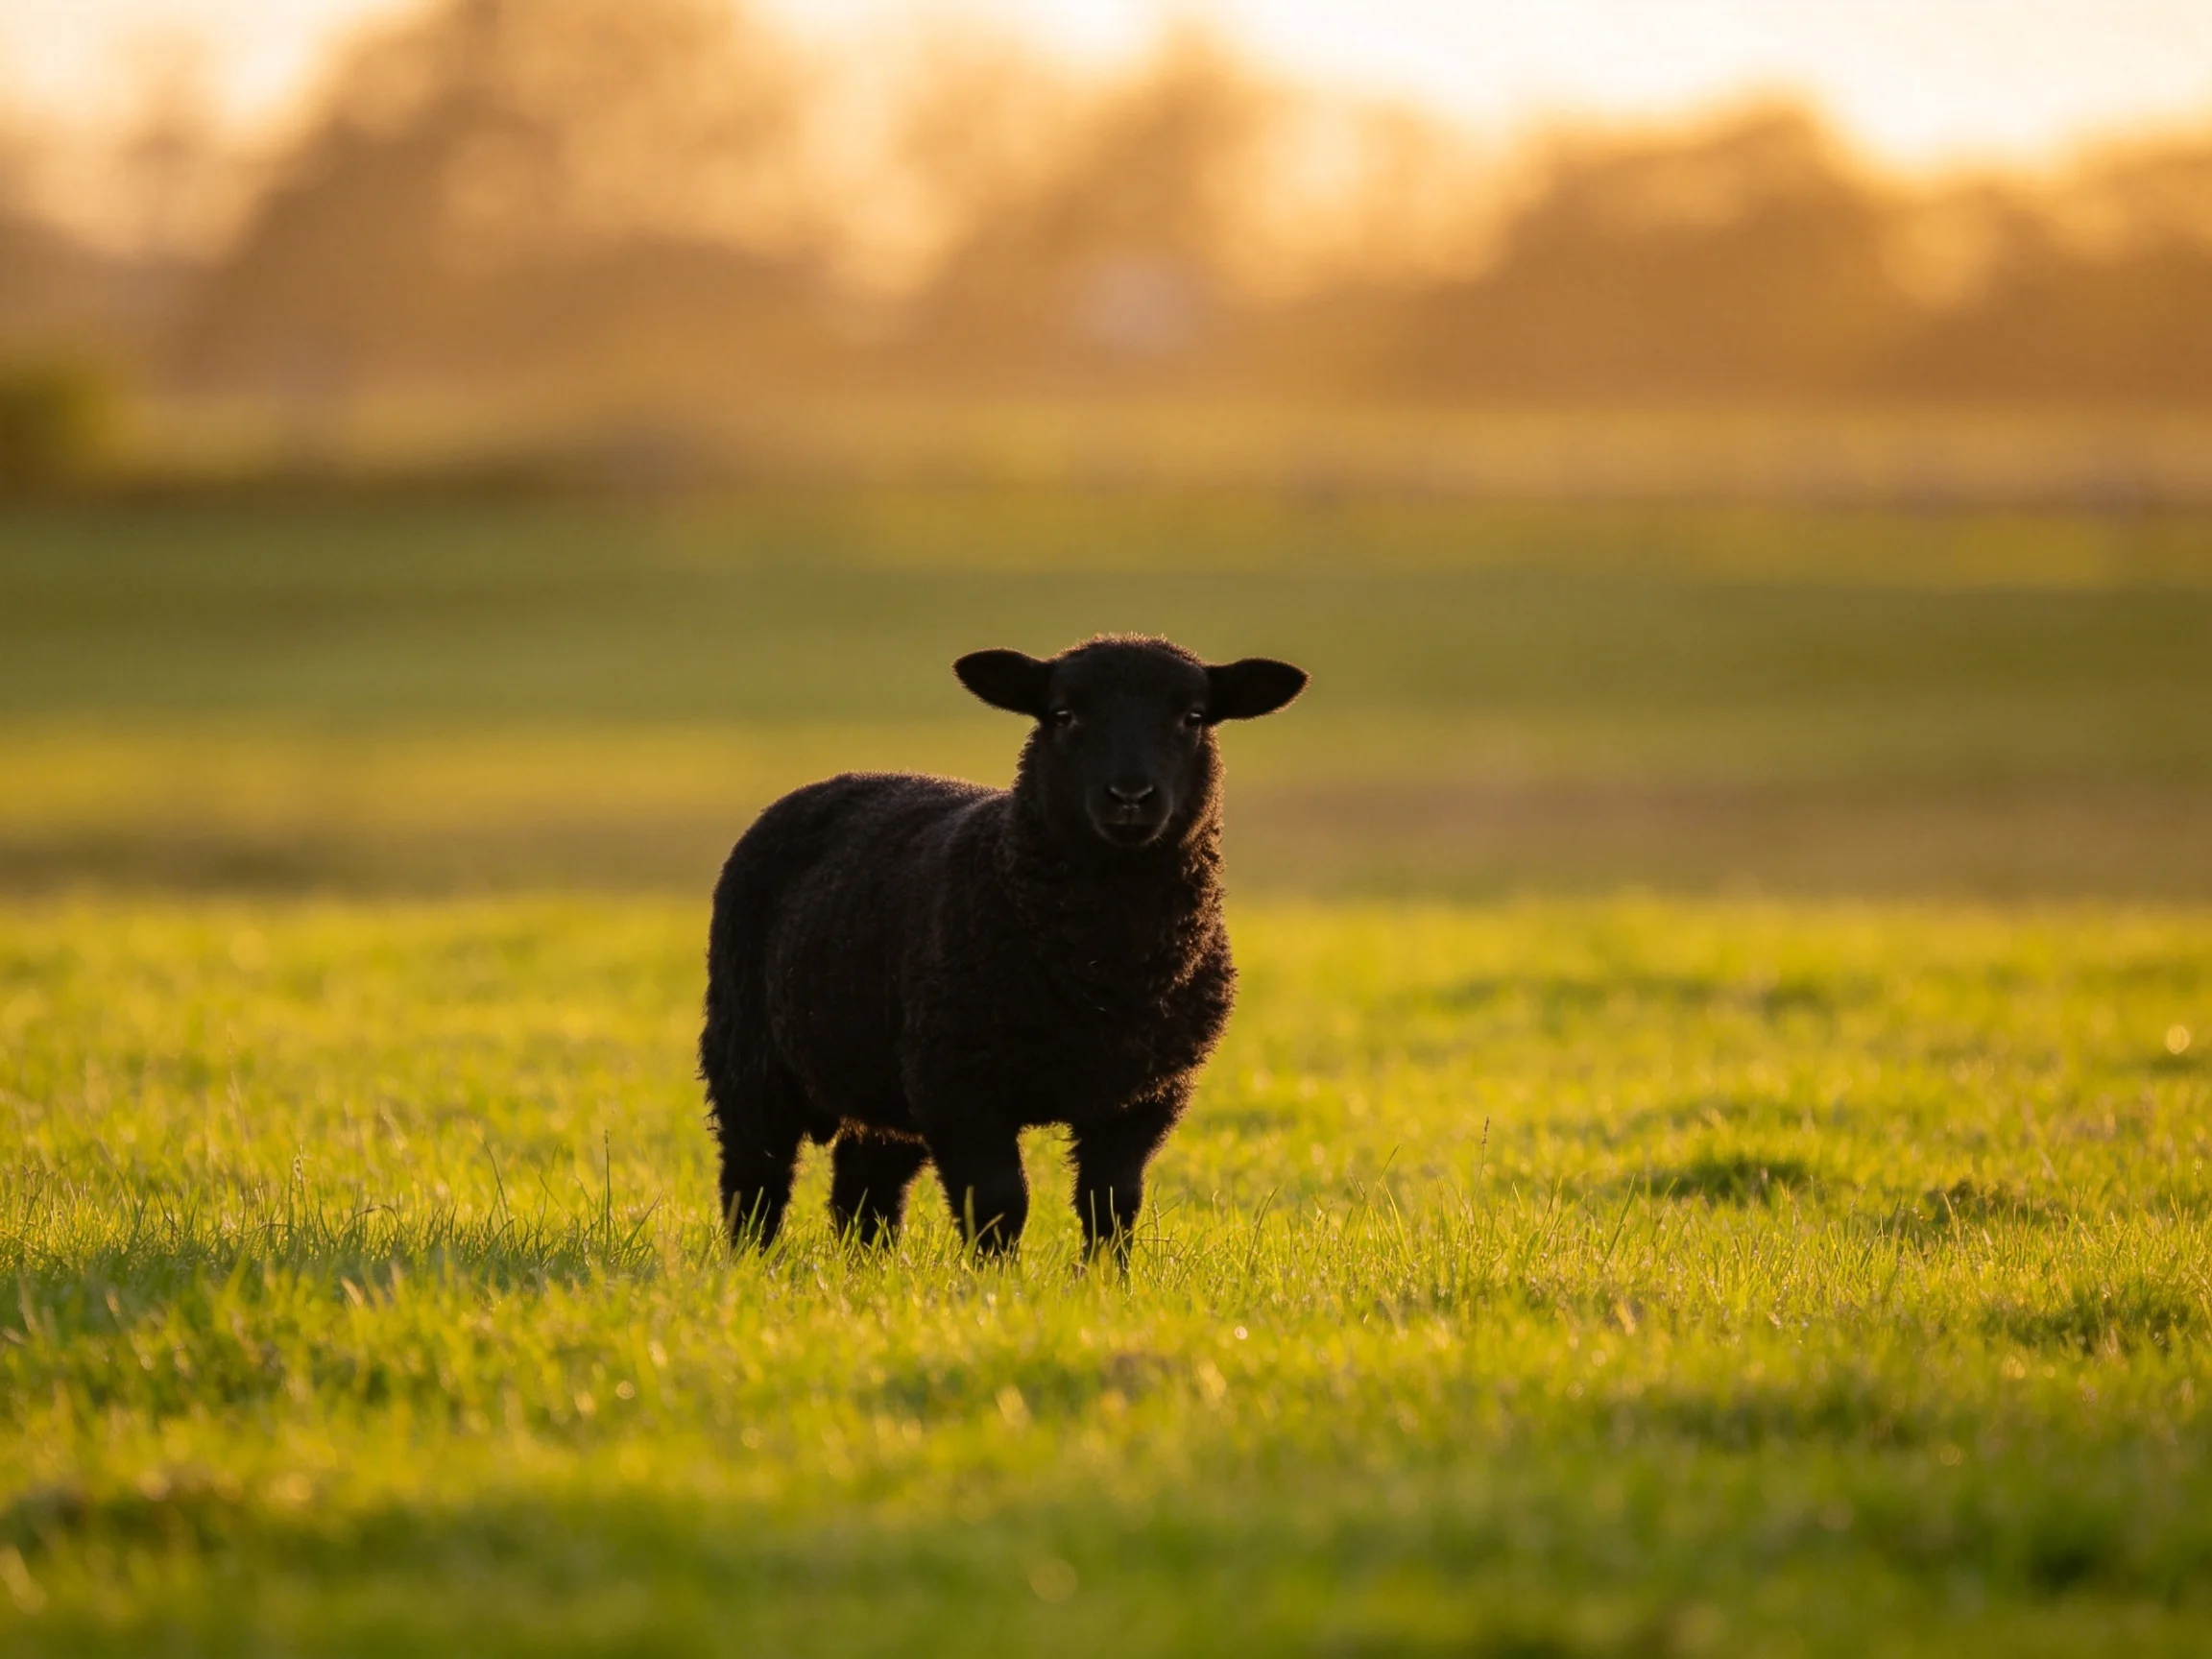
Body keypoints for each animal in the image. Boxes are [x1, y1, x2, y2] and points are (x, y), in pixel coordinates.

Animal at [699, 634, 1307, 1259]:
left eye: (1193, 718)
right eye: (1063, 715)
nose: (1130, 796)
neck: (1107, 972)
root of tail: (836, 779)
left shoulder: (1141, 1098)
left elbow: (1112, 1204)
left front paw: (1103, 1277)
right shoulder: (962, 1090)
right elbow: (997, 1204)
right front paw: (999, 1279)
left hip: (886, 1071)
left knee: (866, 1185)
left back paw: (869, 1266)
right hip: (748, 1049)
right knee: (755, 1175)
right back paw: (750, 1260)